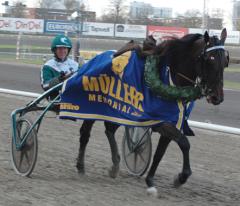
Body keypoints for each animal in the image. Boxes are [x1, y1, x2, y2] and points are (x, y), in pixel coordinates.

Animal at [76, 28, 230, 193]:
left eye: (225, 62)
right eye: (209, 59)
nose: (217, 97)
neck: (170, 78)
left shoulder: (171, 123)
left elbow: (160, 153)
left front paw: (151, 180)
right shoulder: (162, 122)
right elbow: (184, 143)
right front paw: (180, 178)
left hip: (119, 111)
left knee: (109, 130)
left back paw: (115, 165)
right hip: (95, 106)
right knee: (85, 133)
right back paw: (81, 166)